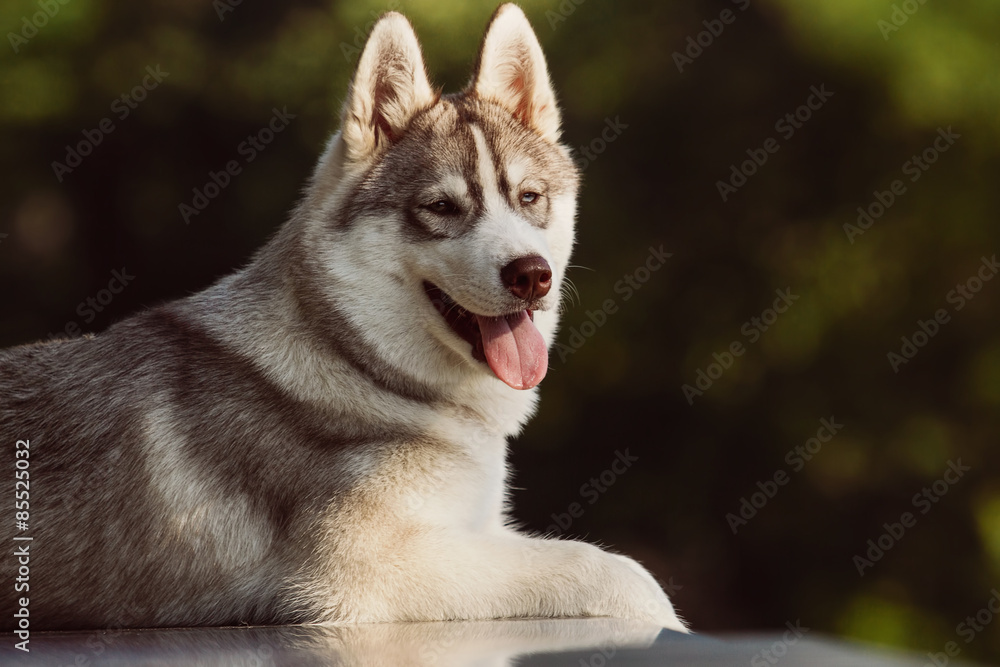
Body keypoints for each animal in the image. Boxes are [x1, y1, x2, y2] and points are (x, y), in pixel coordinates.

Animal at [0, 3, 688, 632]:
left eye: (529, 198)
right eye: (441, 207)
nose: (531, 275)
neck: (359, 364)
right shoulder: (356, 573)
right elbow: (626, 574)